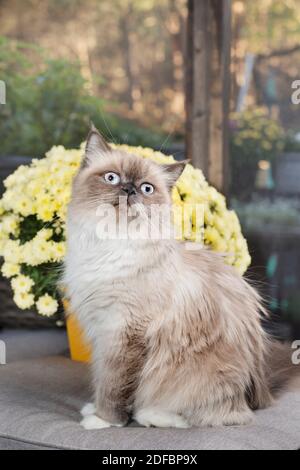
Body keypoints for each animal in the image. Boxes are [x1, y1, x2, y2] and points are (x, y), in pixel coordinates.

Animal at [63, 125, 298, 430]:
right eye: (111, 178)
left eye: (146, 188)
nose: (129, 189)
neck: (110, 245)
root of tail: (261, 394)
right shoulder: (101, 332)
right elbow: (103, 378)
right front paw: (95, 410)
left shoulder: (124, 330)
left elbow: (114, 386)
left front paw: (104, 421)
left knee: (212, 415)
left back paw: (150, 415)